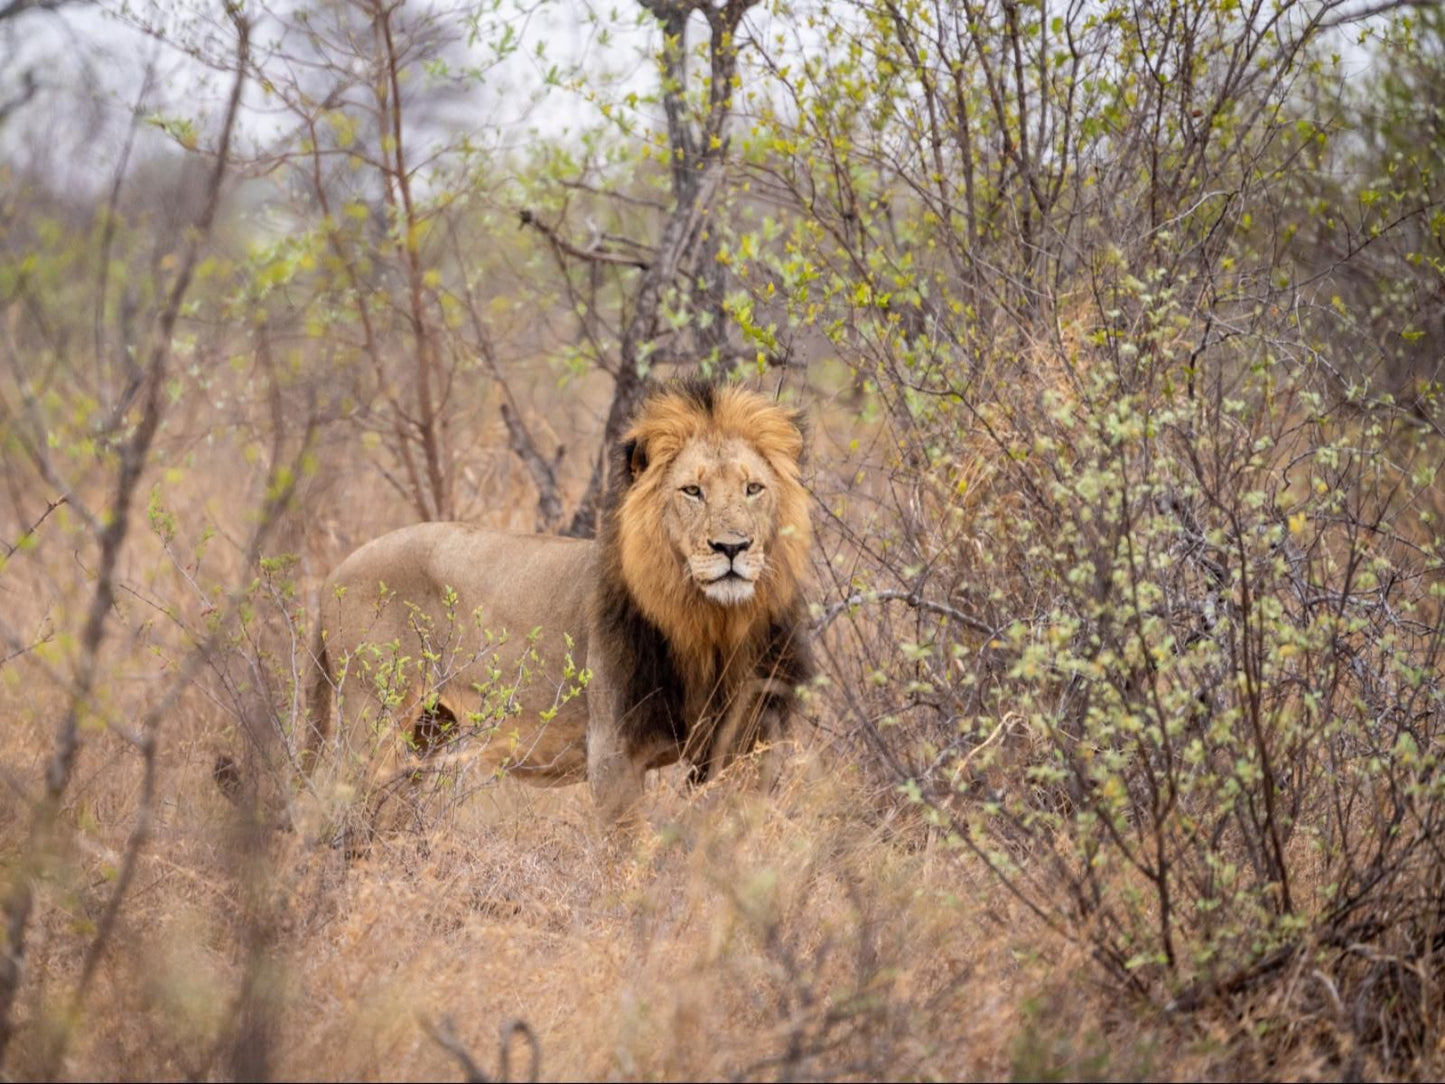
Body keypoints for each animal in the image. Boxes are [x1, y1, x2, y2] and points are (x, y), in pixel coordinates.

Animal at [303, 381, 814, 820]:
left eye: (753, 488)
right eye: (692, 490)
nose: (733, 547)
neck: (709, 623)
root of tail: (333, 576)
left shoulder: (745, 745)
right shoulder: (612, 753)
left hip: (427, 728)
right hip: (375, 716)